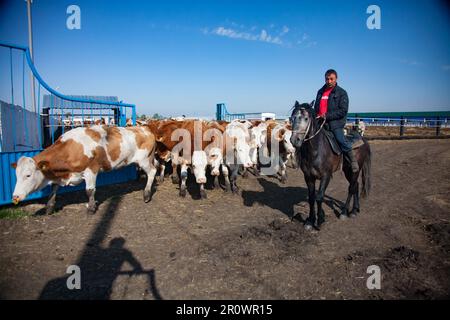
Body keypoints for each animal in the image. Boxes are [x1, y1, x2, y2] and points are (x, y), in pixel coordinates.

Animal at [11, 125, 156, 215]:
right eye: (16, 175)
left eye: (28, 175)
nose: (15, 196)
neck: (71, 148)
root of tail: (144, 128)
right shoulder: (59, 175)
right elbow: (53, 190)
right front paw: (49, 207)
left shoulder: (91, 170)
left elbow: (89, 190)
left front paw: (91, 208)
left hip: (144, 160)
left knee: (152, 172)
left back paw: (147, 194)